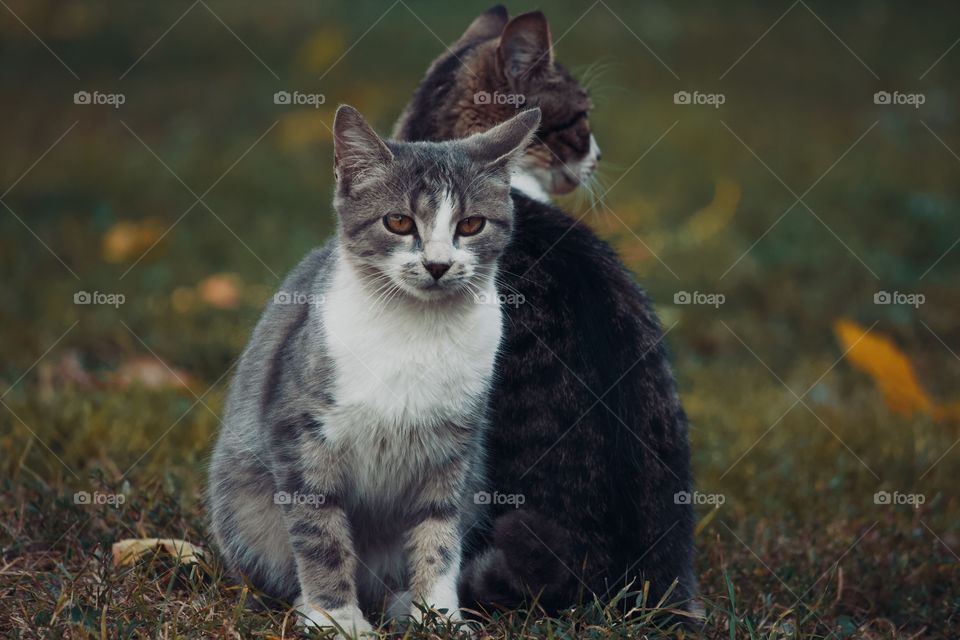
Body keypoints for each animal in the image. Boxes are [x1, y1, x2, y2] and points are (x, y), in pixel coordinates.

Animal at [208, 105, 540, 636]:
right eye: (399, 221)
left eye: (471, 224)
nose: (438, 265)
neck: (416, 332)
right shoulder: (301, 432)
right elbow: (321, 534)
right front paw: (336, 619)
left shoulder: (454, 446)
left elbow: (438, 535)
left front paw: (439, 615)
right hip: (242, 507)